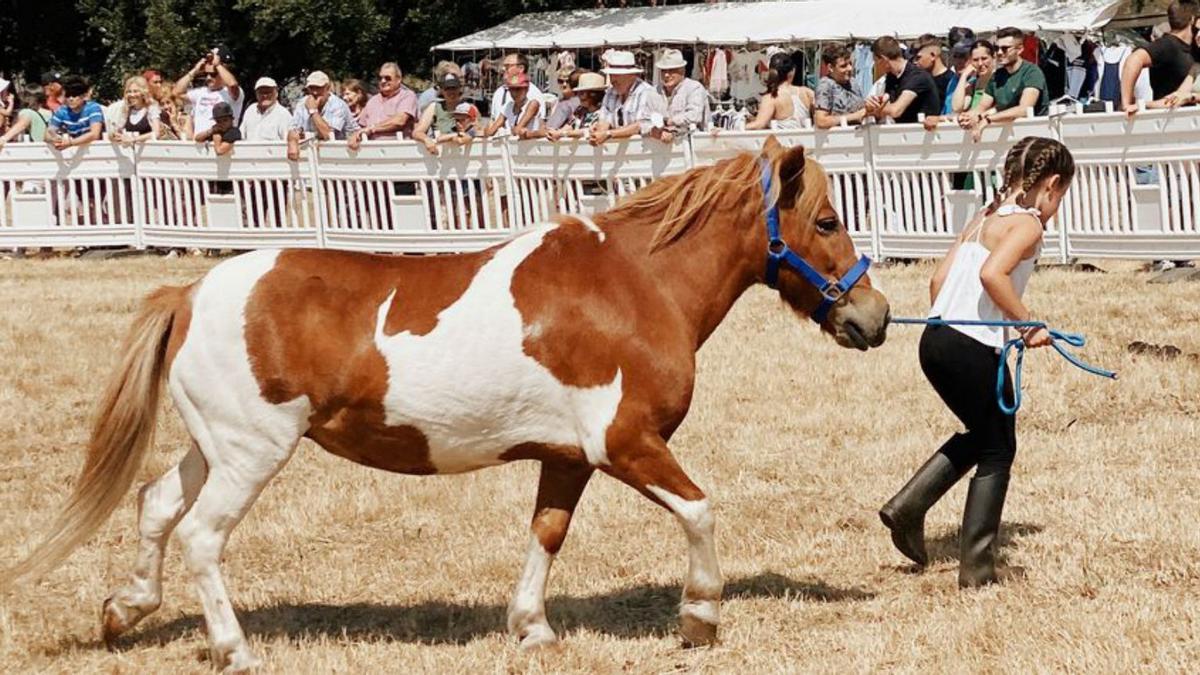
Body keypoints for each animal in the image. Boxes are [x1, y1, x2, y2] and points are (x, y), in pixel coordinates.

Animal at [0, 136, 883, 667]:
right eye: (827, 219)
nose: (871, 317)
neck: (635, 284)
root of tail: (188, 291)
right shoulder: (625, 442)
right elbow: (700, 508)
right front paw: (699, 615)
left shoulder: (568, 456)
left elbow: (547, 534)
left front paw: (530, 627)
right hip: (252, 453)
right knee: (202, 536)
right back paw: (235, 647)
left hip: (213, 444)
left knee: (155, 506)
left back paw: (125, 610)